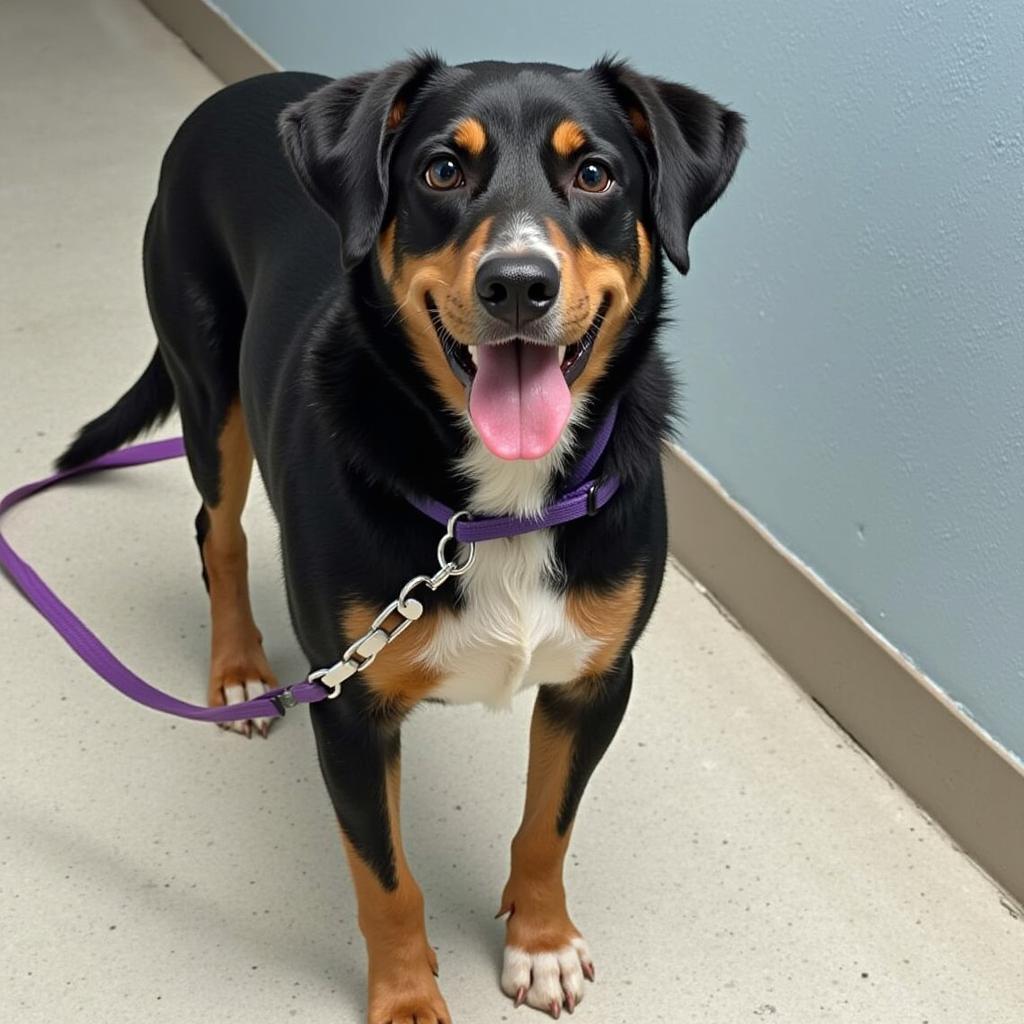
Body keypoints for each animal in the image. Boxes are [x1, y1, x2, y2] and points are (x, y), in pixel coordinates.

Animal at [56, 58, 745, 1024]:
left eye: (595, 173)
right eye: (442, 171)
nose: (518, 283)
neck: (500, 506)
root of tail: (235, 93)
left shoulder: (597, 680)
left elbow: (548, 825)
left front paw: (541, 943)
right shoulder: (349, 708)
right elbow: (385, 879)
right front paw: (408, 997)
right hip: (208, 389)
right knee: (216, 531)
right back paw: (239, 668)